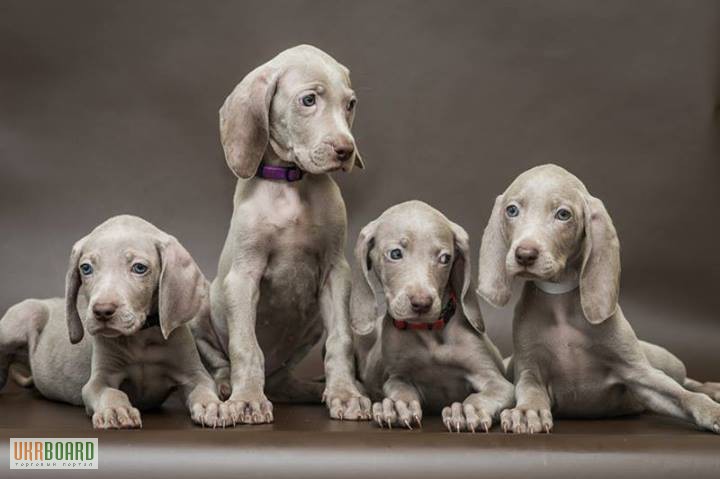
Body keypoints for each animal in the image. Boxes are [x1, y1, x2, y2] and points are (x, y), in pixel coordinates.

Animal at [0, 216, 231, 430]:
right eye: (86, 268)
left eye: (139, 268)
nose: (102, 311)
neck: (141, 338)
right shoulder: (99, 380)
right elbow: (111, 392)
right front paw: (116, 410)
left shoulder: (194, 374)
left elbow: (203, 388)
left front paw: (213, 406)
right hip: (24, 316)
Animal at [191, 44, 372, 424]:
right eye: (308, 100)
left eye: (350, 104)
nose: (346, 151)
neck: (292, 182)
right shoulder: (243, 276)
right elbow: (245, 346)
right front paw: (247, 400)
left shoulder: (336, 272)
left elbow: (341, 340)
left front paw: (345, 394)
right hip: (202, 310)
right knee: (222, 361)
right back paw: (227, 386)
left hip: (312, 324)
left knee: (281, 379)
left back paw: (311, 390)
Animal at [352, 201, 516, 434]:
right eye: (395, 254)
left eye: (445, 258)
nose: (422, 303)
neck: (429, 332)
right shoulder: (397, 376)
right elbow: (399, 388)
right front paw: (397, 407)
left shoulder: (497, 381)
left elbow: (489, 392)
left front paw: (469, 411)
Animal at [478, 165, 720, 436]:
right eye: (512, 210)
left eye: (563, 215)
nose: (525, 255)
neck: (560, 305)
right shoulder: (529, 368)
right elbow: (529, 388)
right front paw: (527, 411)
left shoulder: (640, 373)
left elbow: (682, 394)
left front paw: (713, 411)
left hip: (667, 361)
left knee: (685, 381)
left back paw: (713, 388)